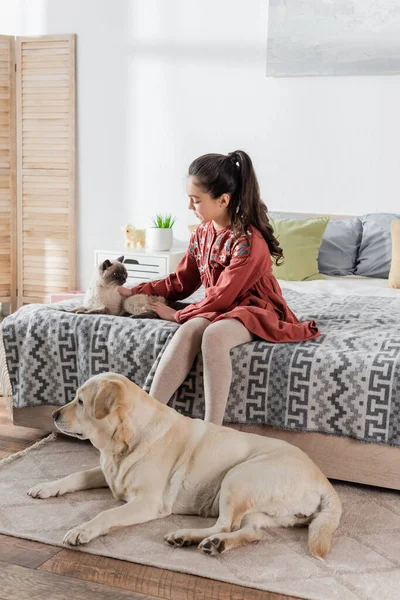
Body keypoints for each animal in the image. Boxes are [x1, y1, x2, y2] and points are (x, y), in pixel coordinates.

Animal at [28, 370, 340, 556]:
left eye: (80, 401)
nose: (54, 414)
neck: (126, 441)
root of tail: (325, 484)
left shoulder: (148, 502)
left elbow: (107, 515)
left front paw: (82, 531)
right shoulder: (109, 474)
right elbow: (76, 475)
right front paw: (46, 487)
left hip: (237, 476)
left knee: (225, 524)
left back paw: (186, 536)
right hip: (260, 509)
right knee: (250, 532)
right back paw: (215, 544)